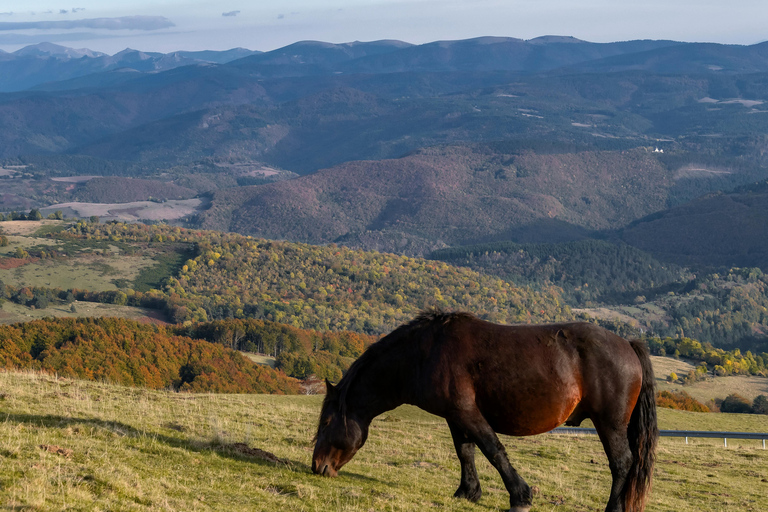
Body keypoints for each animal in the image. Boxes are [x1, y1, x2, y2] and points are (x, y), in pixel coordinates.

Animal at [312, 310, 658, 512]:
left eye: (327, 421)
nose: (317, 466)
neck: (424, 353)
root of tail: (628, 344)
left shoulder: (467, 413)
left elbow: (493, 450)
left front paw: (520, 497)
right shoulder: (455, 416)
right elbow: (466, 452)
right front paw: (467, 492)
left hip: (609, 424)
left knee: (622, 463)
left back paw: (613, 509)